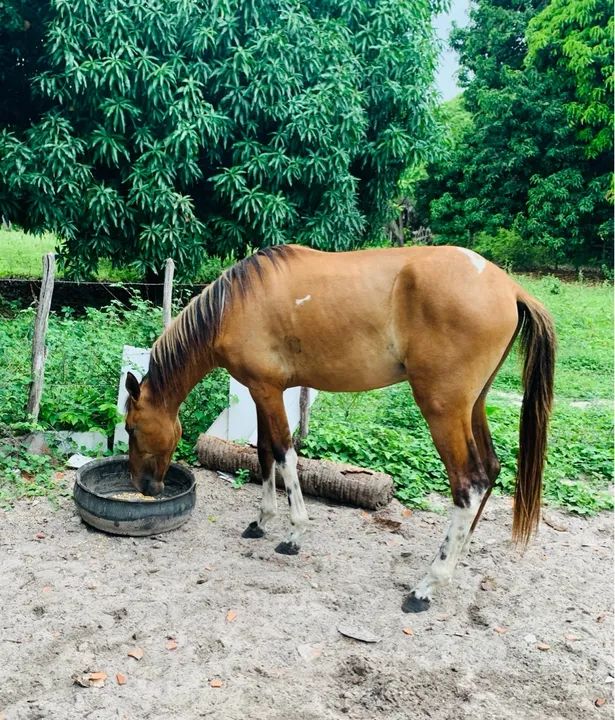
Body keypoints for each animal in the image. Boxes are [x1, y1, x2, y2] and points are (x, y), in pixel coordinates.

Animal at [124, 244, 555, 613]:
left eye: (131, 427)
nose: (144, 486)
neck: (236, 304)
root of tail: (510, 288)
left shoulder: (266, 391)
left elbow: (283, 453)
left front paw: (294, 534)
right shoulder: (264, 392)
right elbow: (263, 453)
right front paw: (261, 522)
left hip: (444, 411)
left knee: (469, 484)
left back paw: (428, 584)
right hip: (474, 405)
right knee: (490, 469)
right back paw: (456, 558)